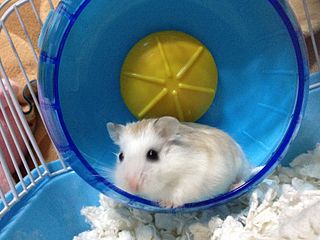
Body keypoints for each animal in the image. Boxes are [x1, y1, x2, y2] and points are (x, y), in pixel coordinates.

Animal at [106, 116, 251, 208]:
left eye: (152, 154)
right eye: (121, 156)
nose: (132, 186)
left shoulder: (192, 179)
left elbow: (178, 194)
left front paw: (165, 204)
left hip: (240, 168)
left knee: (243, 179)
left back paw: (234, 186)